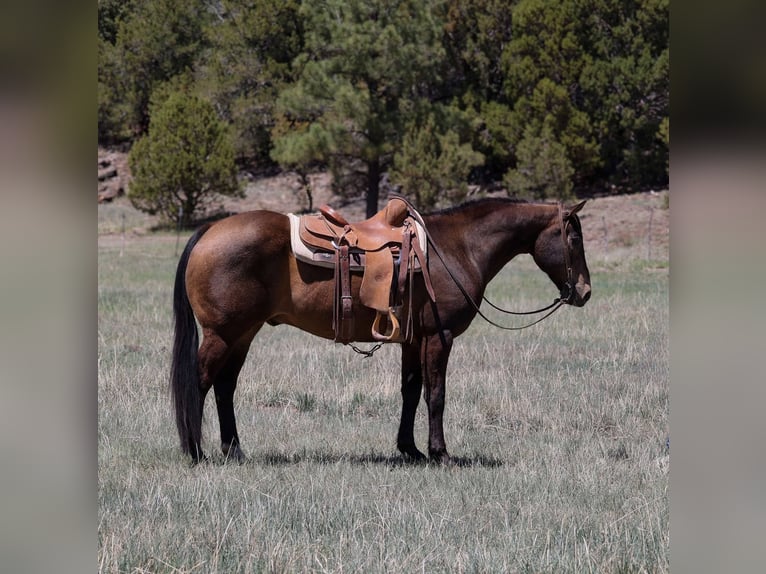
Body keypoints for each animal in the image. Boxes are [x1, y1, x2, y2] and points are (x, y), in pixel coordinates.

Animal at [170, 197, 591, 464]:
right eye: (574, 238)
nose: (585, 291)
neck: (456, 248)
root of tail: (209, 230)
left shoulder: (413, 340)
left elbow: (411, 392)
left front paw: (410, 450)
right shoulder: (439, 338)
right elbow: (436, 395)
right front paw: (440, 453)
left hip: (243, 334)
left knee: (224, 387)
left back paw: (233, 450)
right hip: (223, 334)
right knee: (200, 382)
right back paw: (195, 451)